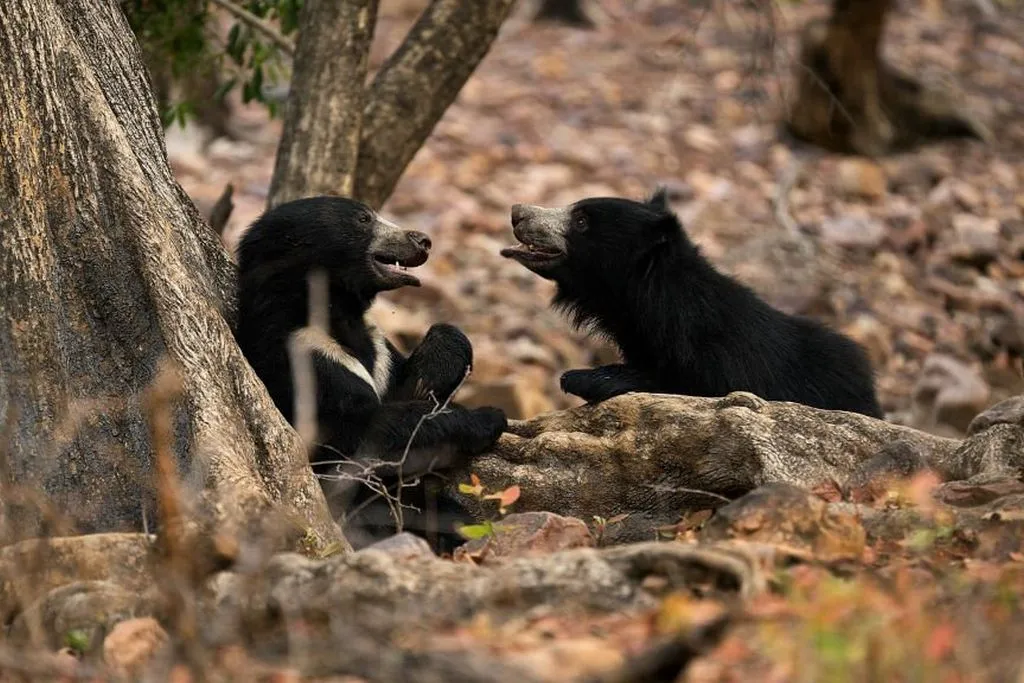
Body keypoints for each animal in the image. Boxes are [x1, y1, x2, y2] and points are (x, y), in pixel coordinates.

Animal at [232, 196, 503, 548]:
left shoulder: (380, 352)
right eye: (363, 219)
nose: (423, 241)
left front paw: (431, 375)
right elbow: (364, 433)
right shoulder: (303, 358)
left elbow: (405, 384)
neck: (336, 315)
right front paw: (488, 416)